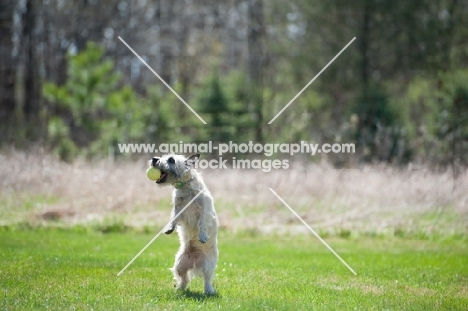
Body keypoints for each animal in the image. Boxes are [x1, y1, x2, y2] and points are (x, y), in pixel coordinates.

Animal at [151, 155, 218, 296]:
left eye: (171, 159)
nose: (154, 159)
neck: (185, 186)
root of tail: (195, 262)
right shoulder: (178, 209)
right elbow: (173, 218)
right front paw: (169, 228)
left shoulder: (204, 210)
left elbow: (202, 223)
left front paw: (202, 236)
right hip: (180, 264)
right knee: (184, 279)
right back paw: (179, 289)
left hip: (208, 265)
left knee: (207, 279)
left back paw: (209, 291)